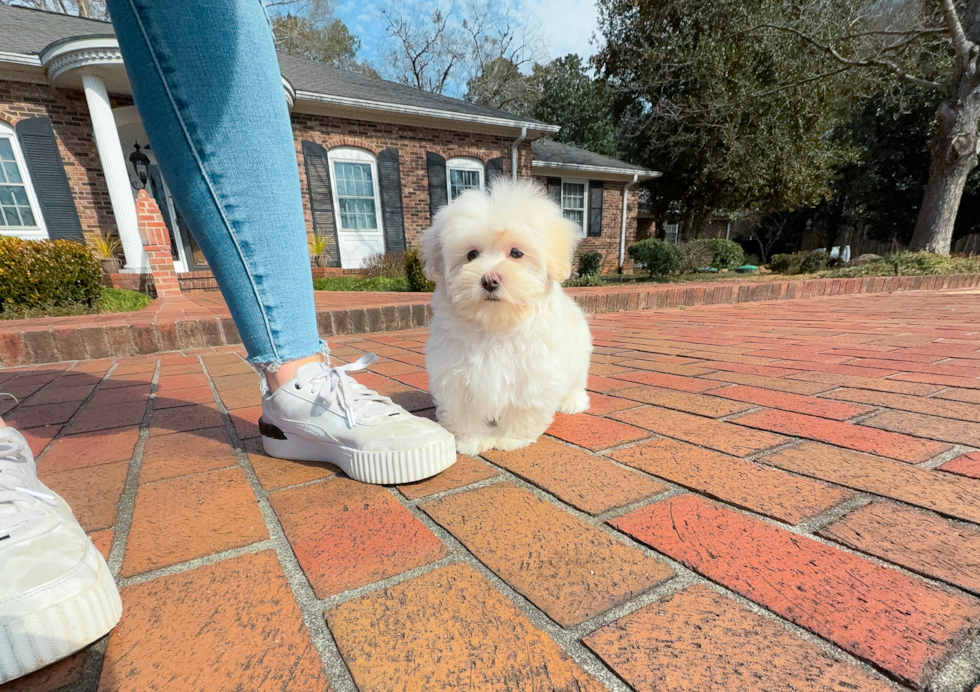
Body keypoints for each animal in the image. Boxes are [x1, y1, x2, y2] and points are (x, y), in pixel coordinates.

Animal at [420, 181, 588, 456]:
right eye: (471, 255)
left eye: (516, 253)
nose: (490, 280)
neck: (494, 324)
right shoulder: (456, 376)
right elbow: (464, 411)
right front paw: (472, 440)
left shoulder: (532, 374)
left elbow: (522, 407)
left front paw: (512, 438)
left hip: (580, 359)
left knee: (576, 382)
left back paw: (572, 402)